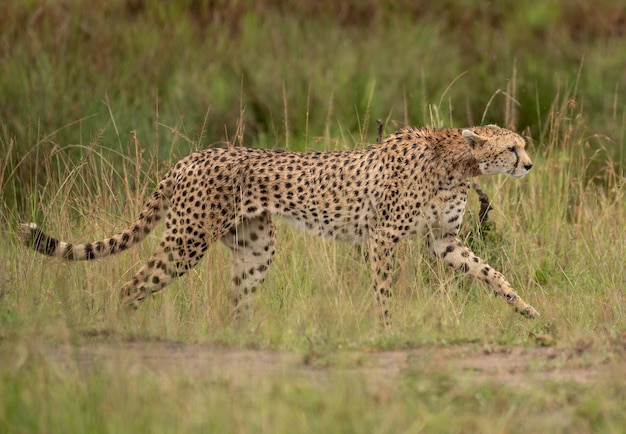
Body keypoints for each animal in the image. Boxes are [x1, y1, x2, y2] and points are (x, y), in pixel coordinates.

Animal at [23, 124, 536, 328]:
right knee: (131, 285)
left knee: (238, 303)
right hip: (187, 240)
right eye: (512, 148)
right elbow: (385, 291)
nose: (530, 165)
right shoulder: (383, 237)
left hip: (255, 247)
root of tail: (193, 156)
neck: (458, 161)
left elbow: (491, 273)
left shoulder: (443, 242)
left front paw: (527, 309)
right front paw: (388, 330)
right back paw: (121, 331)